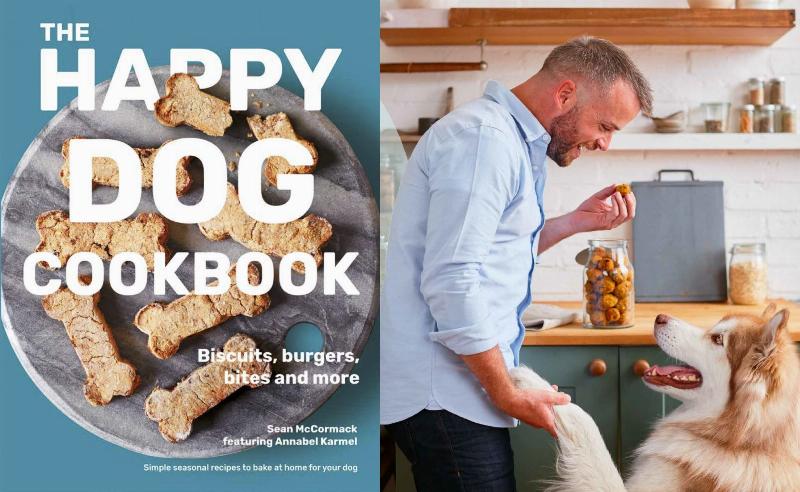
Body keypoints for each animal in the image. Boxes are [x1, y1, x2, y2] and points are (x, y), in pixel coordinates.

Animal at [512, 306, 800, 490]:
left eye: (717, 339)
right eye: (715, 328)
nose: (660, 317)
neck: (739, 442)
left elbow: (585, 422)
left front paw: (532, 382)